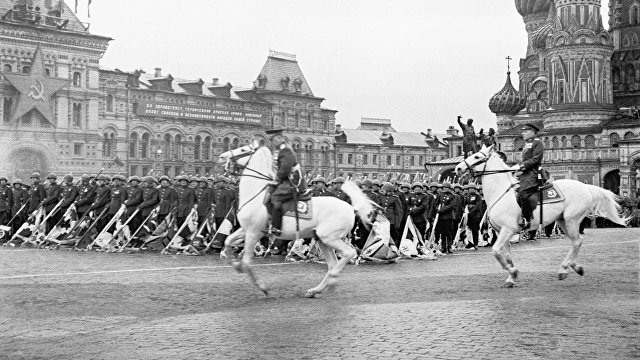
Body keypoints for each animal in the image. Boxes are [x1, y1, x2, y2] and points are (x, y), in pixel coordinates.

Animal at [218, 142, 378, 296]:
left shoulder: (254, 232)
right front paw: (234, 263)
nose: (222, 157)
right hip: (322, 239)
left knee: (349, 253)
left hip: (330, 238)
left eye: (243, 149)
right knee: (333, 263)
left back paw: (332, 279)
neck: (256, 195)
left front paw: (262, 287)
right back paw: (316, 290)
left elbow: (246, 263)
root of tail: (351, 208)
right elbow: (228, 241)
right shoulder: (246, 229)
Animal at [456, 143, 632, 286]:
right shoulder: (501, 231)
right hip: (562, 221)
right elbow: (506, 255)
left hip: (572, 220)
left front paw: (513, 273)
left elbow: (496, 251)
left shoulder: (508, 229)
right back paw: (574, 267)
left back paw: (564, 269)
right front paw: (511, 278)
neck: (501, 193)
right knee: (577, 241)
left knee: (577, 242)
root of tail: (585, 186)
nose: (458, 168)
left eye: (477, 156)